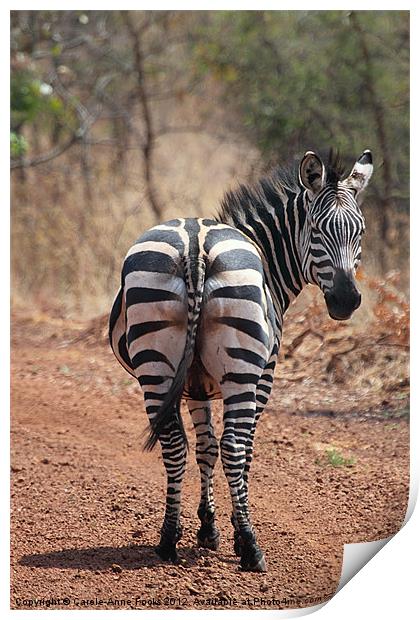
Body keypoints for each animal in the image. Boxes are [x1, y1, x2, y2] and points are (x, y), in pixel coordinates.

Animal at [110, 149, 372, 572]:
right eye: (317, 230)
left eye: (359, 232)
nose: (347, 301)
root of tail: (195, 244)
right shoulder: (264, 375)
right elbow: (243, 450)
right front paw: (233, 529)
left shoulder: (195, 384)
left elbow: (205, 447)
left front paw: (207, 528)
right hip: (241, 371)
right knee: (234, 446)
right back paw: (251, 549)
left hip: (156, 366)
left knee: (173, 443)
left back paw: (167, 540)